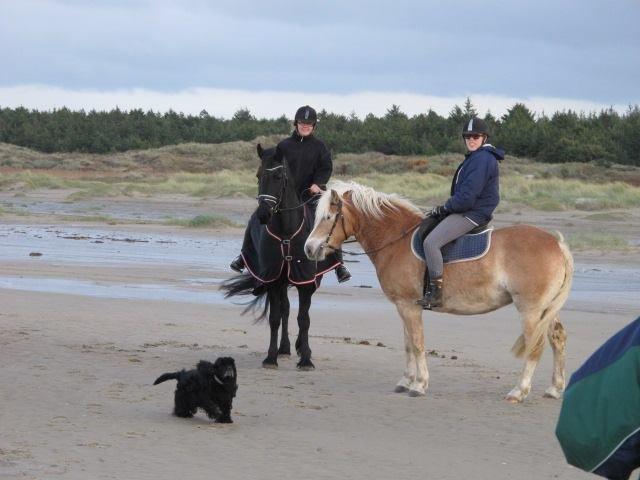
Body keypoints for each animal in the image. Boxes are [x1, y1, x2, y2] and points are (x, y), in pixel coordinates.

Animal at [221, 144, 336, 370]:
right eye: (258, 176)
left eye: (278, 176)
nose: (263, 215)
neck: (286, 232)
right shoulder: (273, 278)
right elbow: (276, 317)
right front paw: (271, 357)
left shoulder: (305, 280)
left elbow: (304, 319)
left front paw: (306, 359)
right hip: (282, 280)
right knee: (286, 309)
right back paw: (284, 348)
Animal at [302, 181, 572, 402]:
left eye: (328, 217)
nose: (309, 248)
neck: (396, 240)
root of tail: (557, 244)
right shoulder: (404, 306)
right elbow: (408, 344)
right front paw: (405, 381)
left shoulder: (409, 306)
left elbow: (417, 343)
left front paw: (419, 385)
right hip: (545, 310)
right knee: (557, 338)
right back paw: (554, 389)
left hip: (530, 310)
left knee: (535, 346)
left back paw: (519, 391)